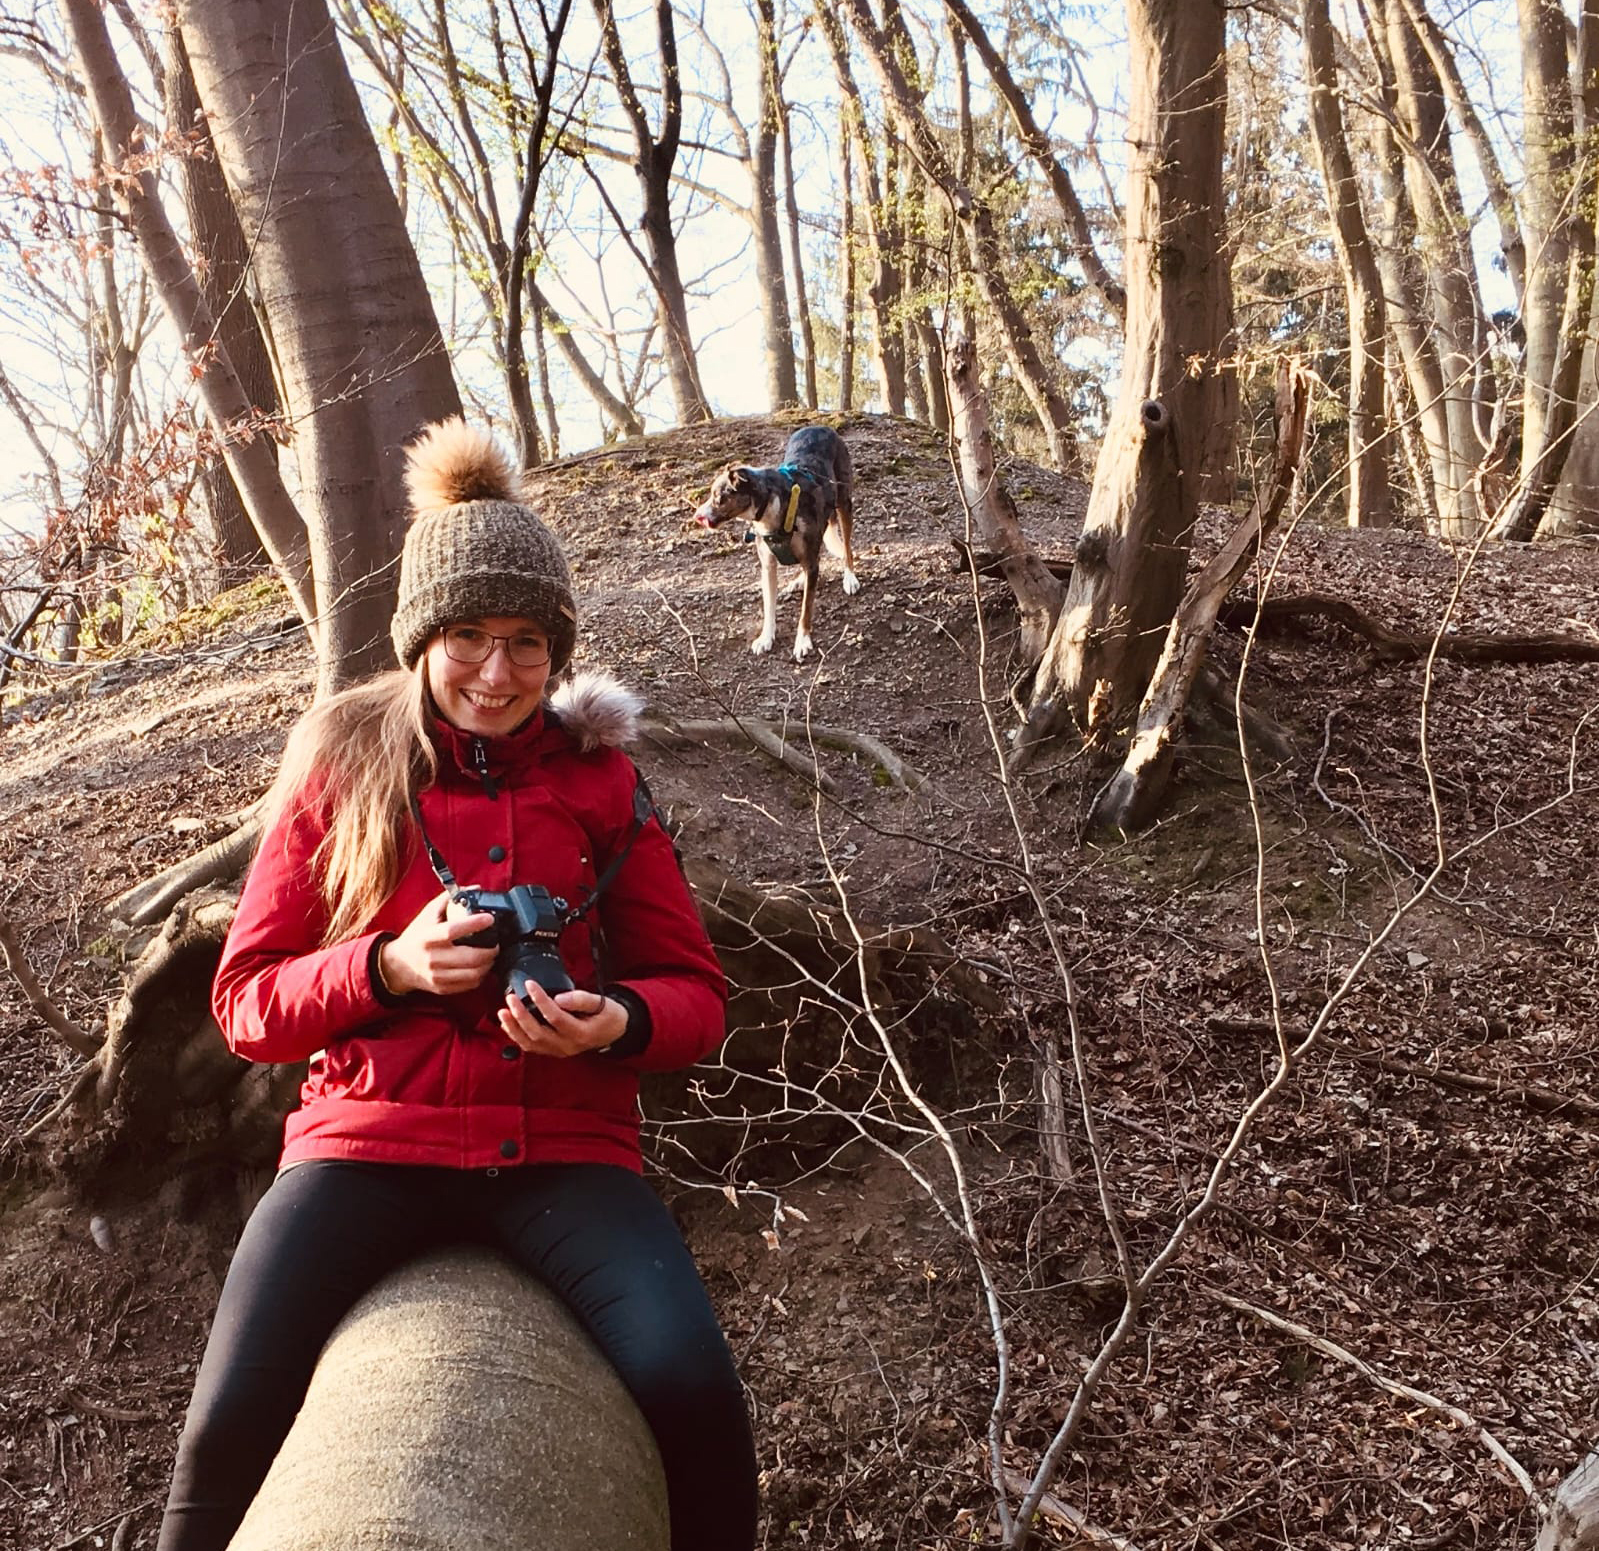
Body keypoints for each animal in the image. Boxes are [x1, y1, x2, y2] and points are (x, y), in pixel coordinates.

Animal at [690, 422, 857, 658]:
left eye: (719, 498)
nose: (697, 516)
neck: (771, 506)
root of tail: (821, 426)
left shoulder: (809, 556)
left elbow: (806, 609)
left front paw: (802, 641)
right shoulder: (768, 566)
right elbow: (769, 607)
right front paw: (765, 638)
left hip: (844, 503)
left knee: (847, 548)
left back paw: (849, 577)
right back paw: (800, 580)